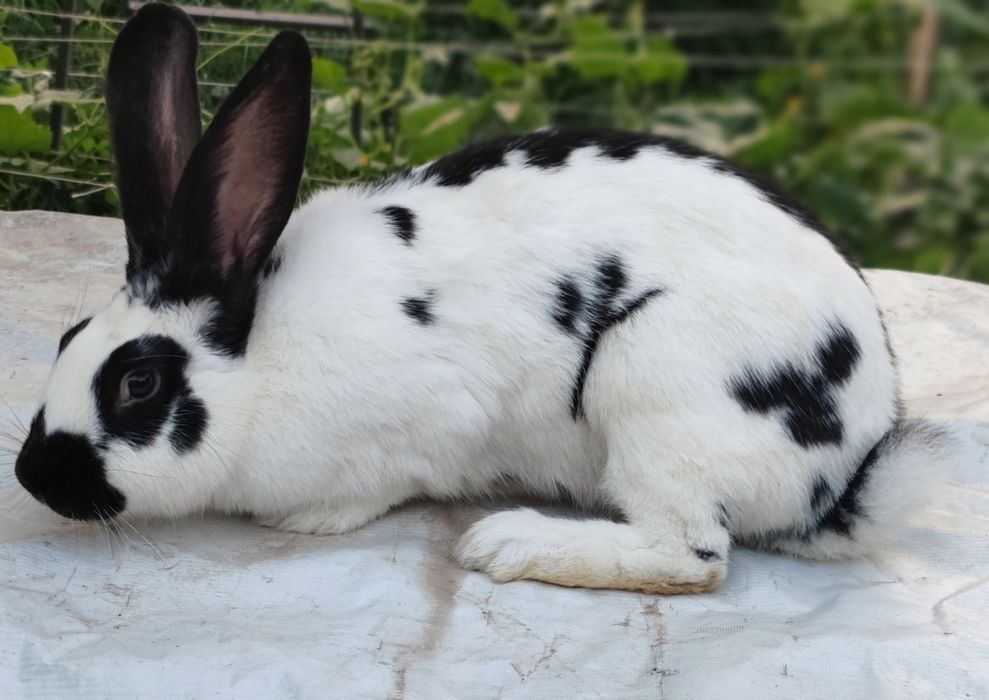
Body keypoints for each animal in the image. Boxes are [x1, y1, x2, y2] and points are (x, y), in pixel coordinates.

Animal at [14, 3, 945, 594]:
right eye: (63, 340)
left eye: (138, 384)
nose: (32, 475)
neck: (261, 357)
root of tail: (845, 474)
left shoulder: (423, 422)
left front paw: (312, 523)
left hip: (658, 382)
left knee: (691, 557)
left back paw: (510, 543)